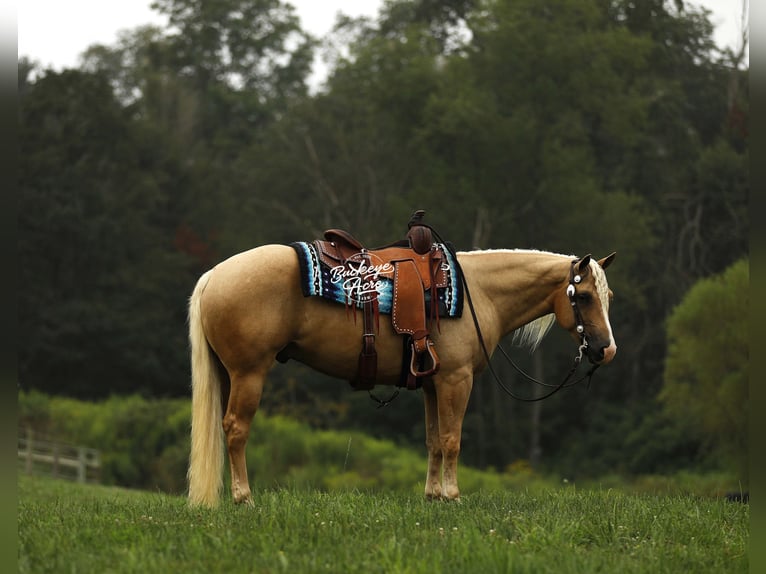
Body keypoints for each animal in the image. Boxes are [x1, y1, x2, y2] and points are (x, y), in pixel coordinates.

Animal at [186, 244, 617, 507]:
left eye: (607, 297)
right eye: (584, 296)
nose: (606, 350)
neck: (477, 294)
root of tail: (213, 275)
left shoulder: (431, 384)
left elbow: (434, 441)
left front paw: (432, 496)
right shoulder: (456, 380)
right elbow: (452, 439)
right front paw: (453, 495)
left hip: (228, 374)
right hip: (249, 373)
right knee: (236, 429)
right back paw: (244, 498)